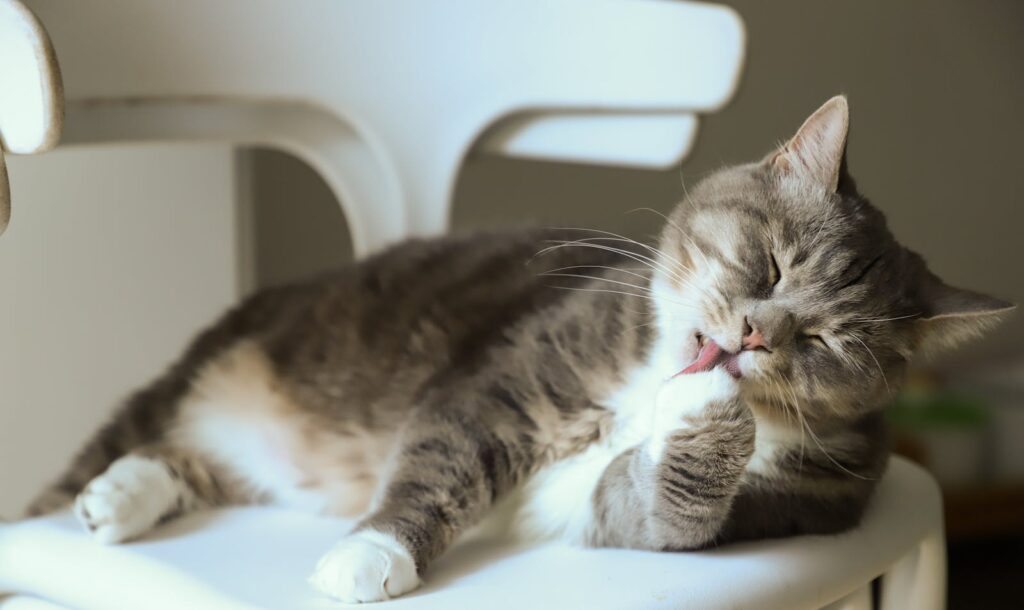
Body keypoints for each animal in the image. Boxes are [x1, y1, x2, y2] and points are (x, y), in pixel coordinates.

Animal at [25, 97, 1015, 601]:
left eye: (824, 341)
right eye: (771, 264)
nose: (750, 339)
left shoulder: (757, 505)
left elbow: (662, 508)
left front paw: (706, 416)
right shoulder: (510, 376)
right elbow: (444, 459)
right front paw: (369, 557)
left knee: (188, 461)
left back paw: (122, 497)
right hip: (206, 369)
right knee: (117, 449)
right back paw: (98, 494)